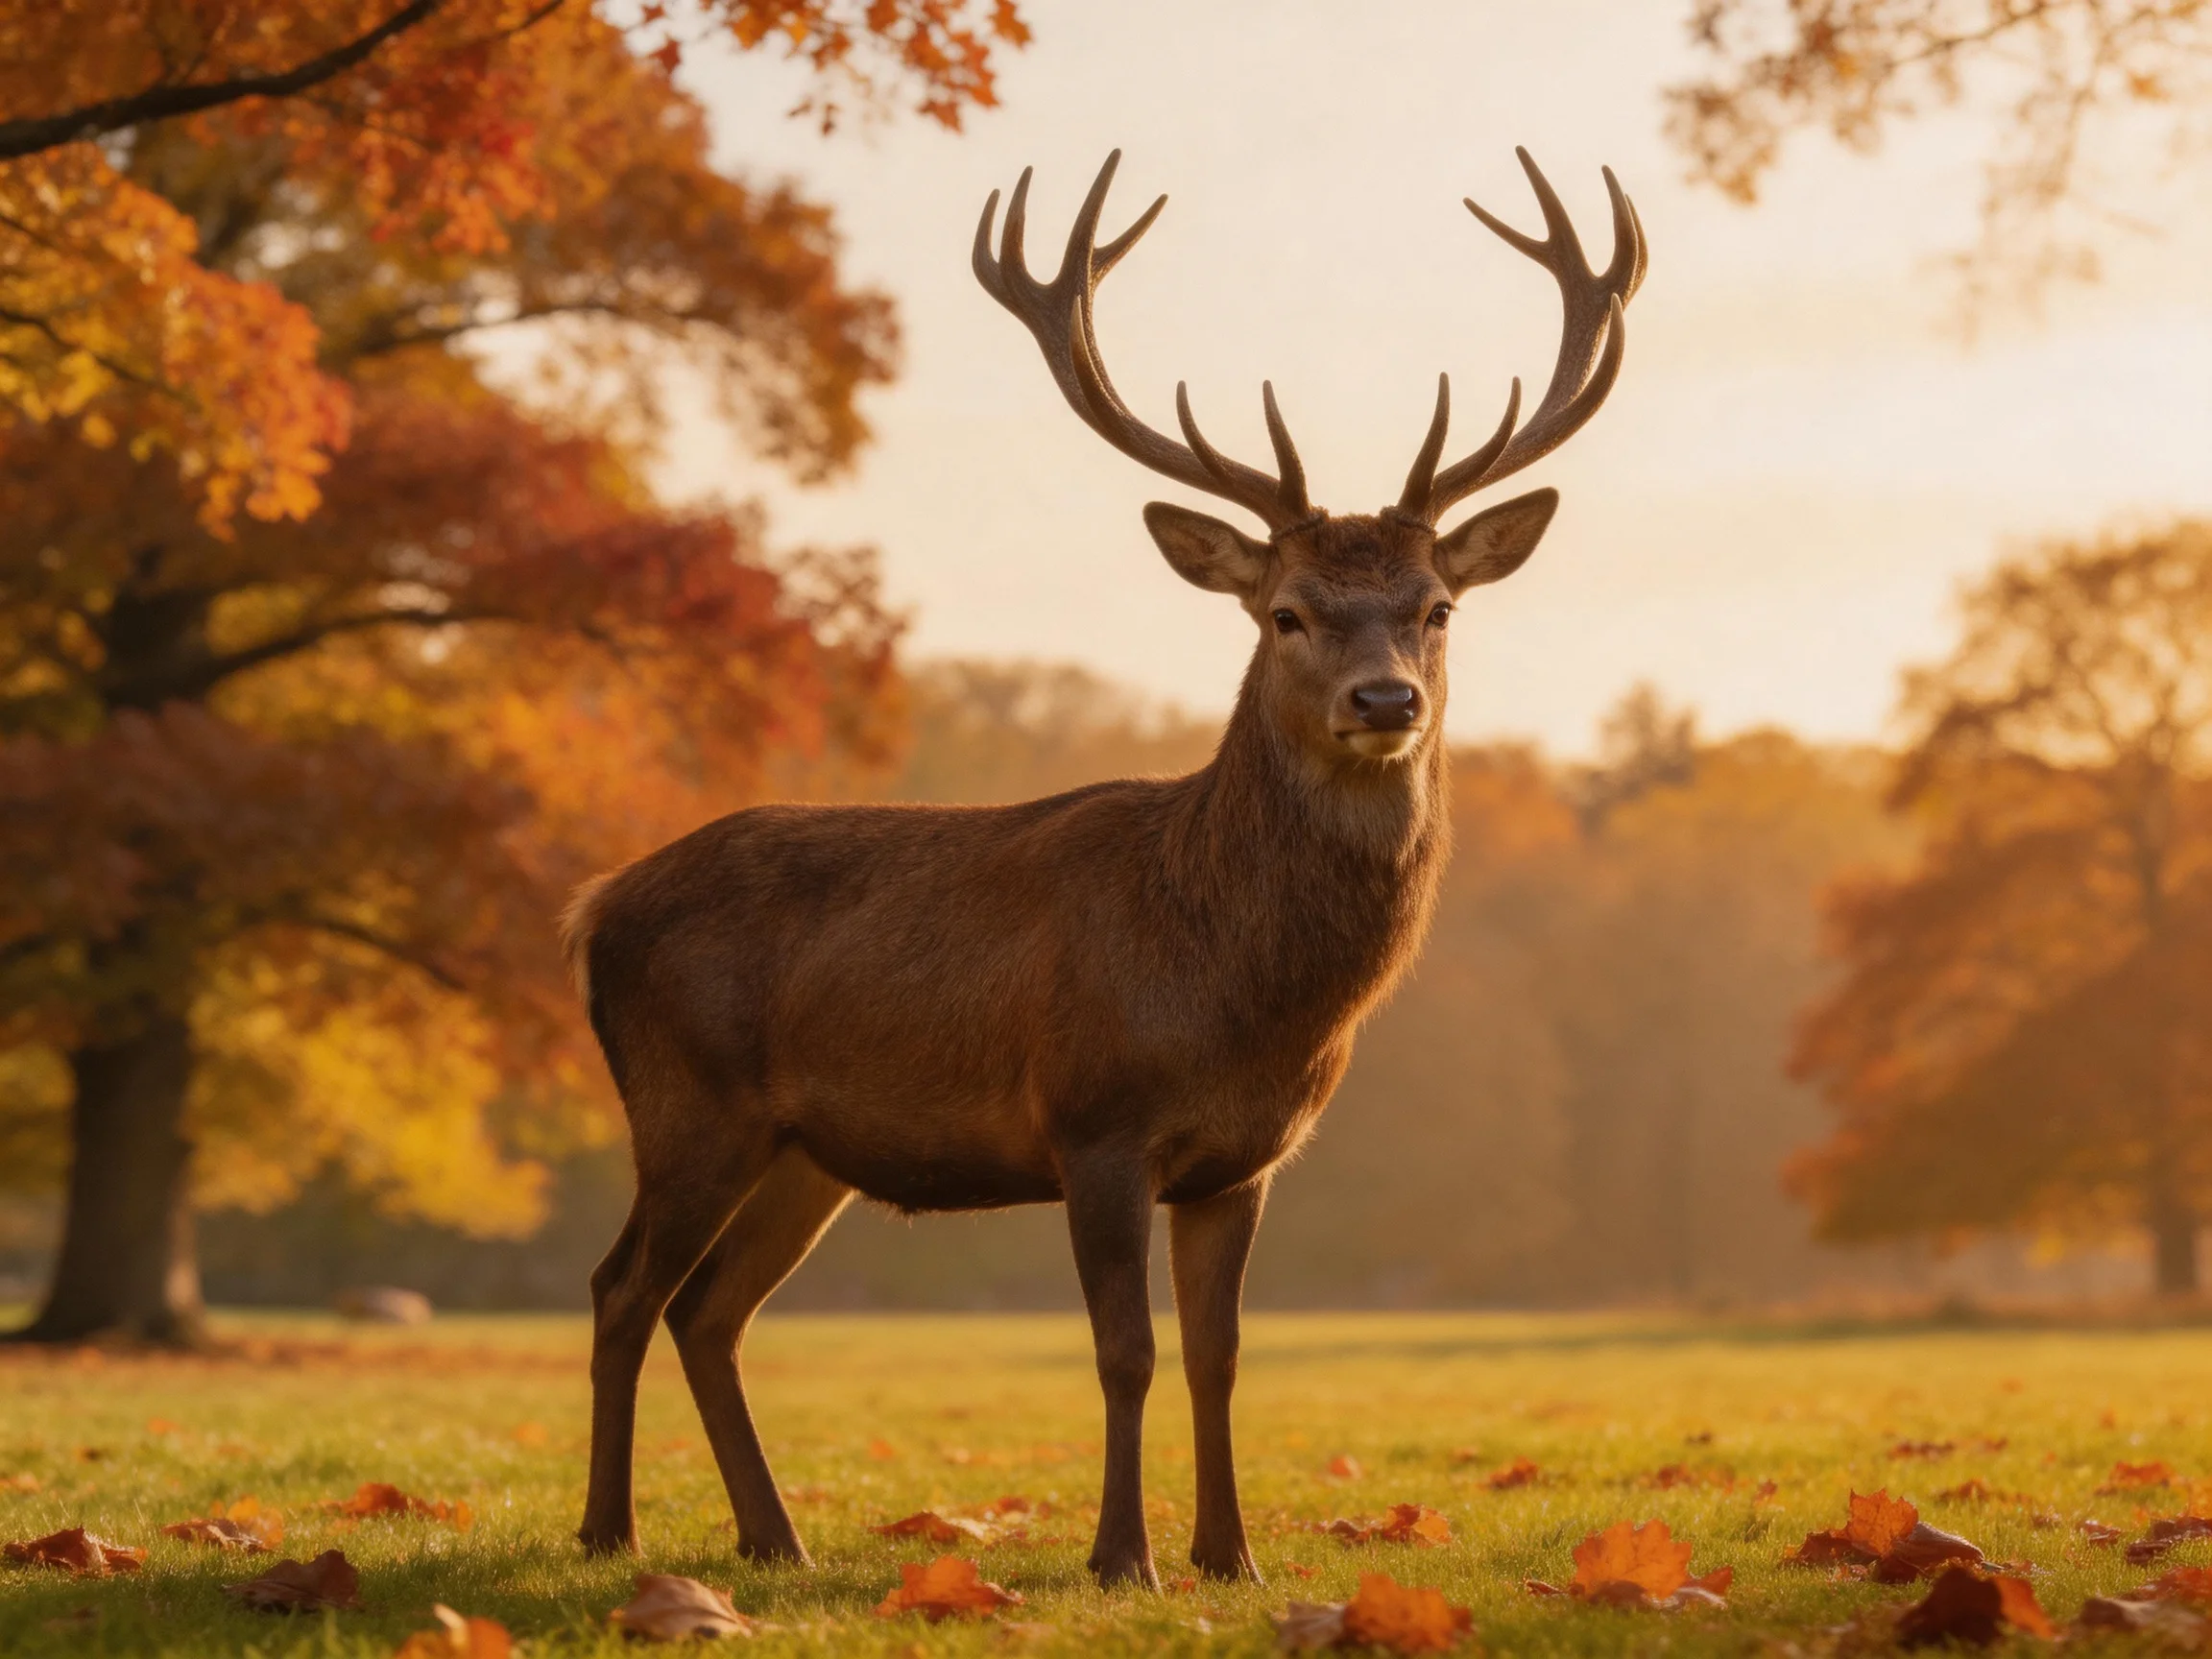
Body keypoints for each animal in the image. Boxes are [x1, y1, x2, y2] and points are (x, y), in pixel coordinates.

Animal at [564, 147, 1645, 1589]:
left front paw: (1231, 1557)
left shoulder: (1243, 1160)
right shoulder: (1095, 1119)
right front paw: (1120, 1556)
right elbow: (1124, 1352)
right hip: (689, 1099)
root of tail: (593, 909)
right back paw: (608, 1528)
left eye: (1437, 608)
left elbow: (1219, 1357)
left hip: (802, 1151)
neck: (1239, 991)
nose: (1385, 700)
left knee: (711, 1311)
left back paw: (772, 1539)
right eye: (1284, 611)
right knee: (624, 1287)